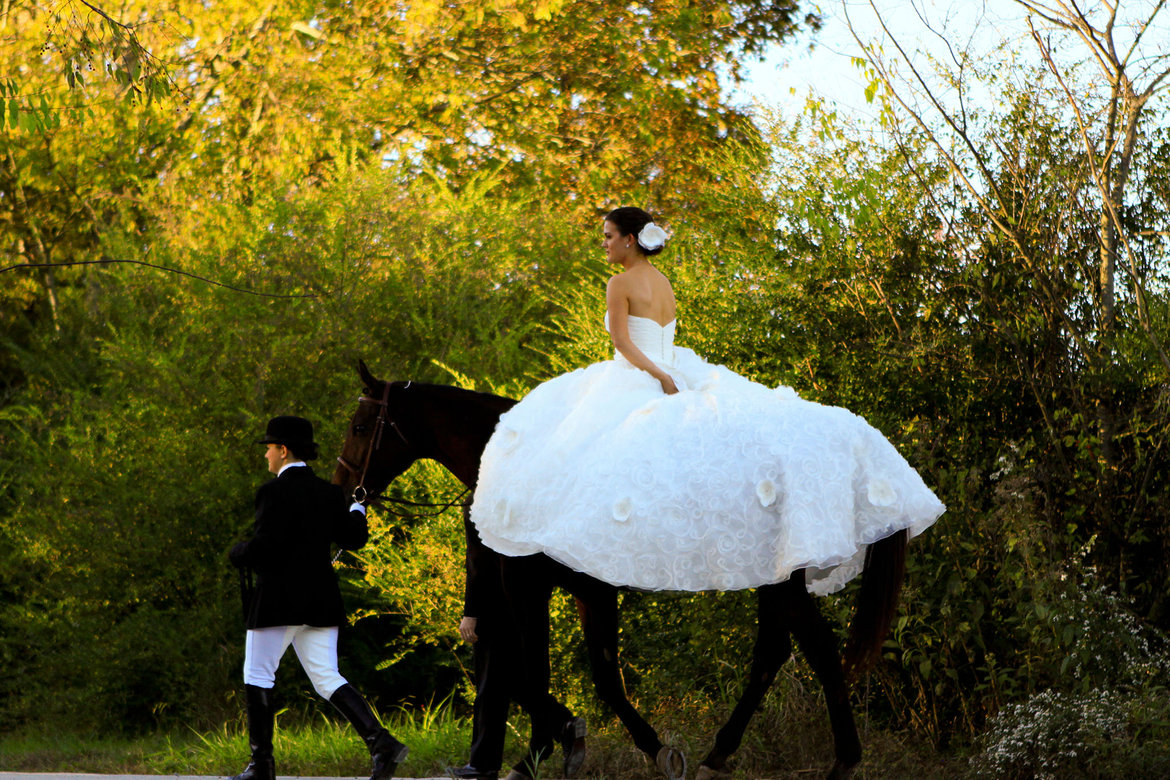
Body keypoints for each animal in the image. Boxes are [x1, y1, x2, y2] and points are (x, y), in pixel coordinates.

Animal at [334, 364, 907, 780]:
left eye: (361, 426)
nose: (343, 495)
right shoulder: (578, 590)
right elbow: (571, 674)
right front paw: (557, 748)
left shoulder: (538, 585)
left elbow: (550, 673)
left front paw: (571, 747)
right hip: (777, 579)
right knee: (787, 652)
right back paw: (740, 755)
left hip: (779, 581)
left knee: (805, 651)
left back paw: (827, 760)